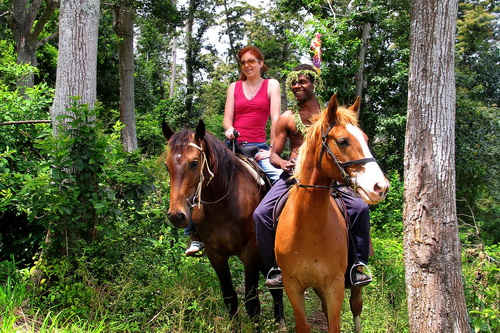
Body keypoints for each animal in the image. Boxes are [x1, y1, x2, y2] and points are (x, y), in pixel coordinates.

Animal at [162, 119, 284, 326]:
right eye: (166, 166)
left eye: (194, 163)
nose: (176, 215)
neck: (224, 201)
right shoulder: (215, 254)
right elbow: (229, 297)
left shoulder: (250, 252)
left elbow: (252, 302)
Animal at [276, 94, 388, 330]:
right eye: (343, 141)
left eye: (366, 139)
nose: (380, 187)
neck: (308, 226)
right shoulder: (293, 286)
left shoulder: (334, 286)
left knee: (356, 306)